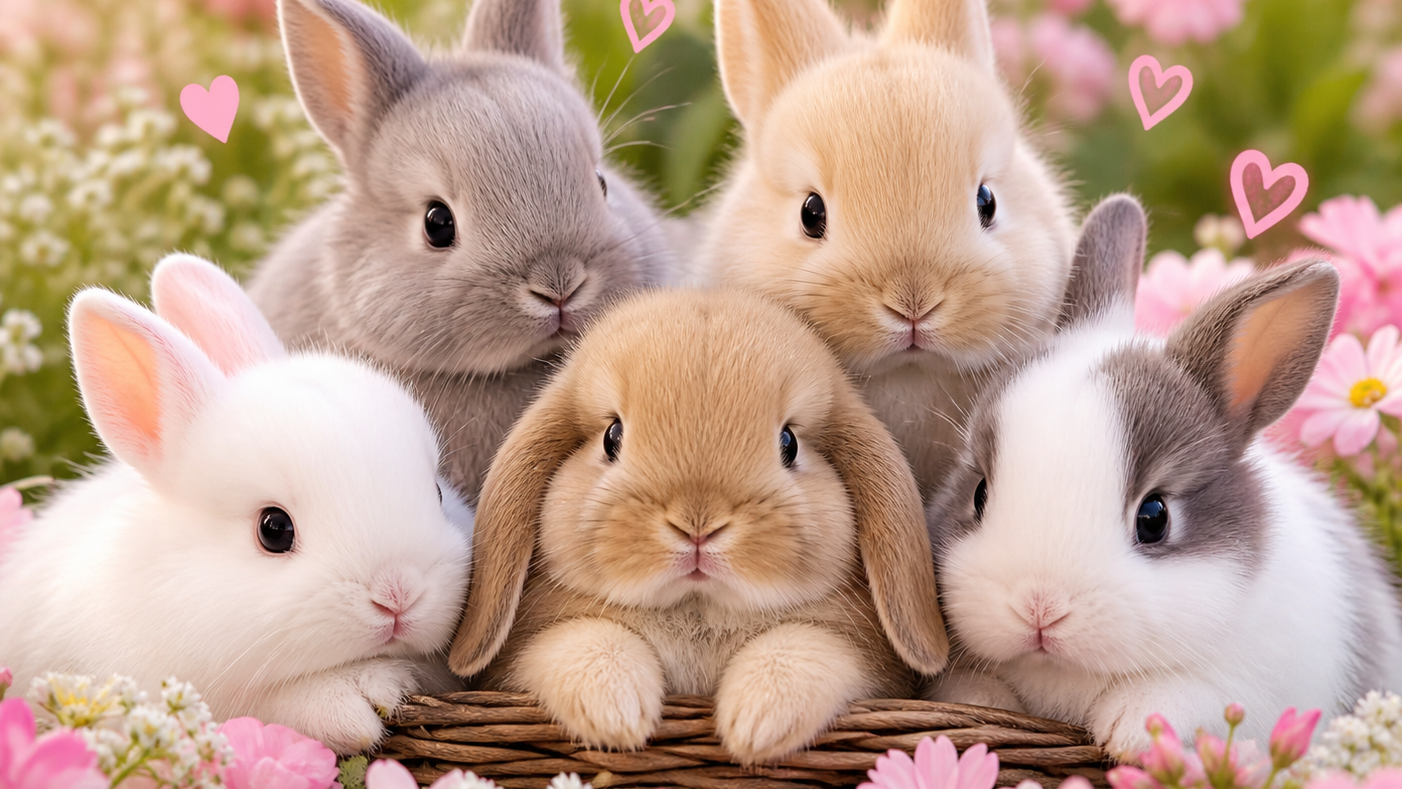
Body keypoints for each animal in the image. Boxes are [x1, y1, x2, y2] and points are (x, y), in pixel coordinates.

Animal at [444, 288, 949, 764]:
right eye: (612, 437)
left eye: (789, 443)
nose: (698, 526)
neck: (697, 610)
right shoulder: (529, 652)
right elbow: (583, 640)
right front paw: (618, 717)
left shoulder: (860, 658)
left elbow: (804, 646)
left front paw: (756, 725)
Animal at [923, 195, 1402, 759]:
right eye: (978, 493)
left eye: (1154, 517)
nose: (1039, 609)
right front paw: (981, 705)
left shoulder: (1260, 687)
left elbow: (1199, 696)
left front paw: (1131, 729)